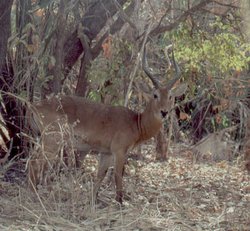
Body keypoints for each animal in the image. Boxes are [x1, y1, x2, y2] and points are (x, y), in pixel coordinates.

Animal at [28, 45, 187, 204]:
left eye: (170, 96)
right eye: (155, 95)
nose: (164, 112)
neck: (136, 122)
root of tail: (35, 106)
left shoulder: (106, 153)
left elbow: (100, 176)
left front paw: (93, 201)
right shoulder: (119, 151)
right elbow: (118, 176)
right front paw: (119, 202)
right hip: (52, 143)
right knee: (34, 163)